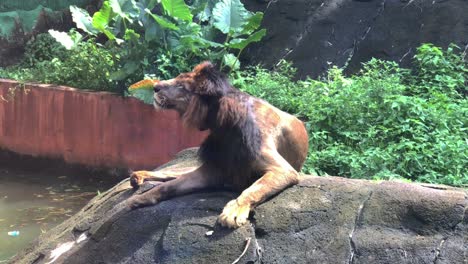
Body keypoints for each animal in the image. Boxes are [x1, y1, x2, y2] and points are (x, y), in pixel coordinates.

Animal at [128, 61, 308, 227]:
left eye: (181, 86)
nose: (155, 87)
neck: (222, 125)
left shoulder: (284, 170)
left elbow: (254, 189)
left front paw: (234, 211)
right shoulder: (214, 168)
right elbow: (168, 186)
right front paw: (138, 200)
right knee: (170, 173)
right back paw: (139, 175)